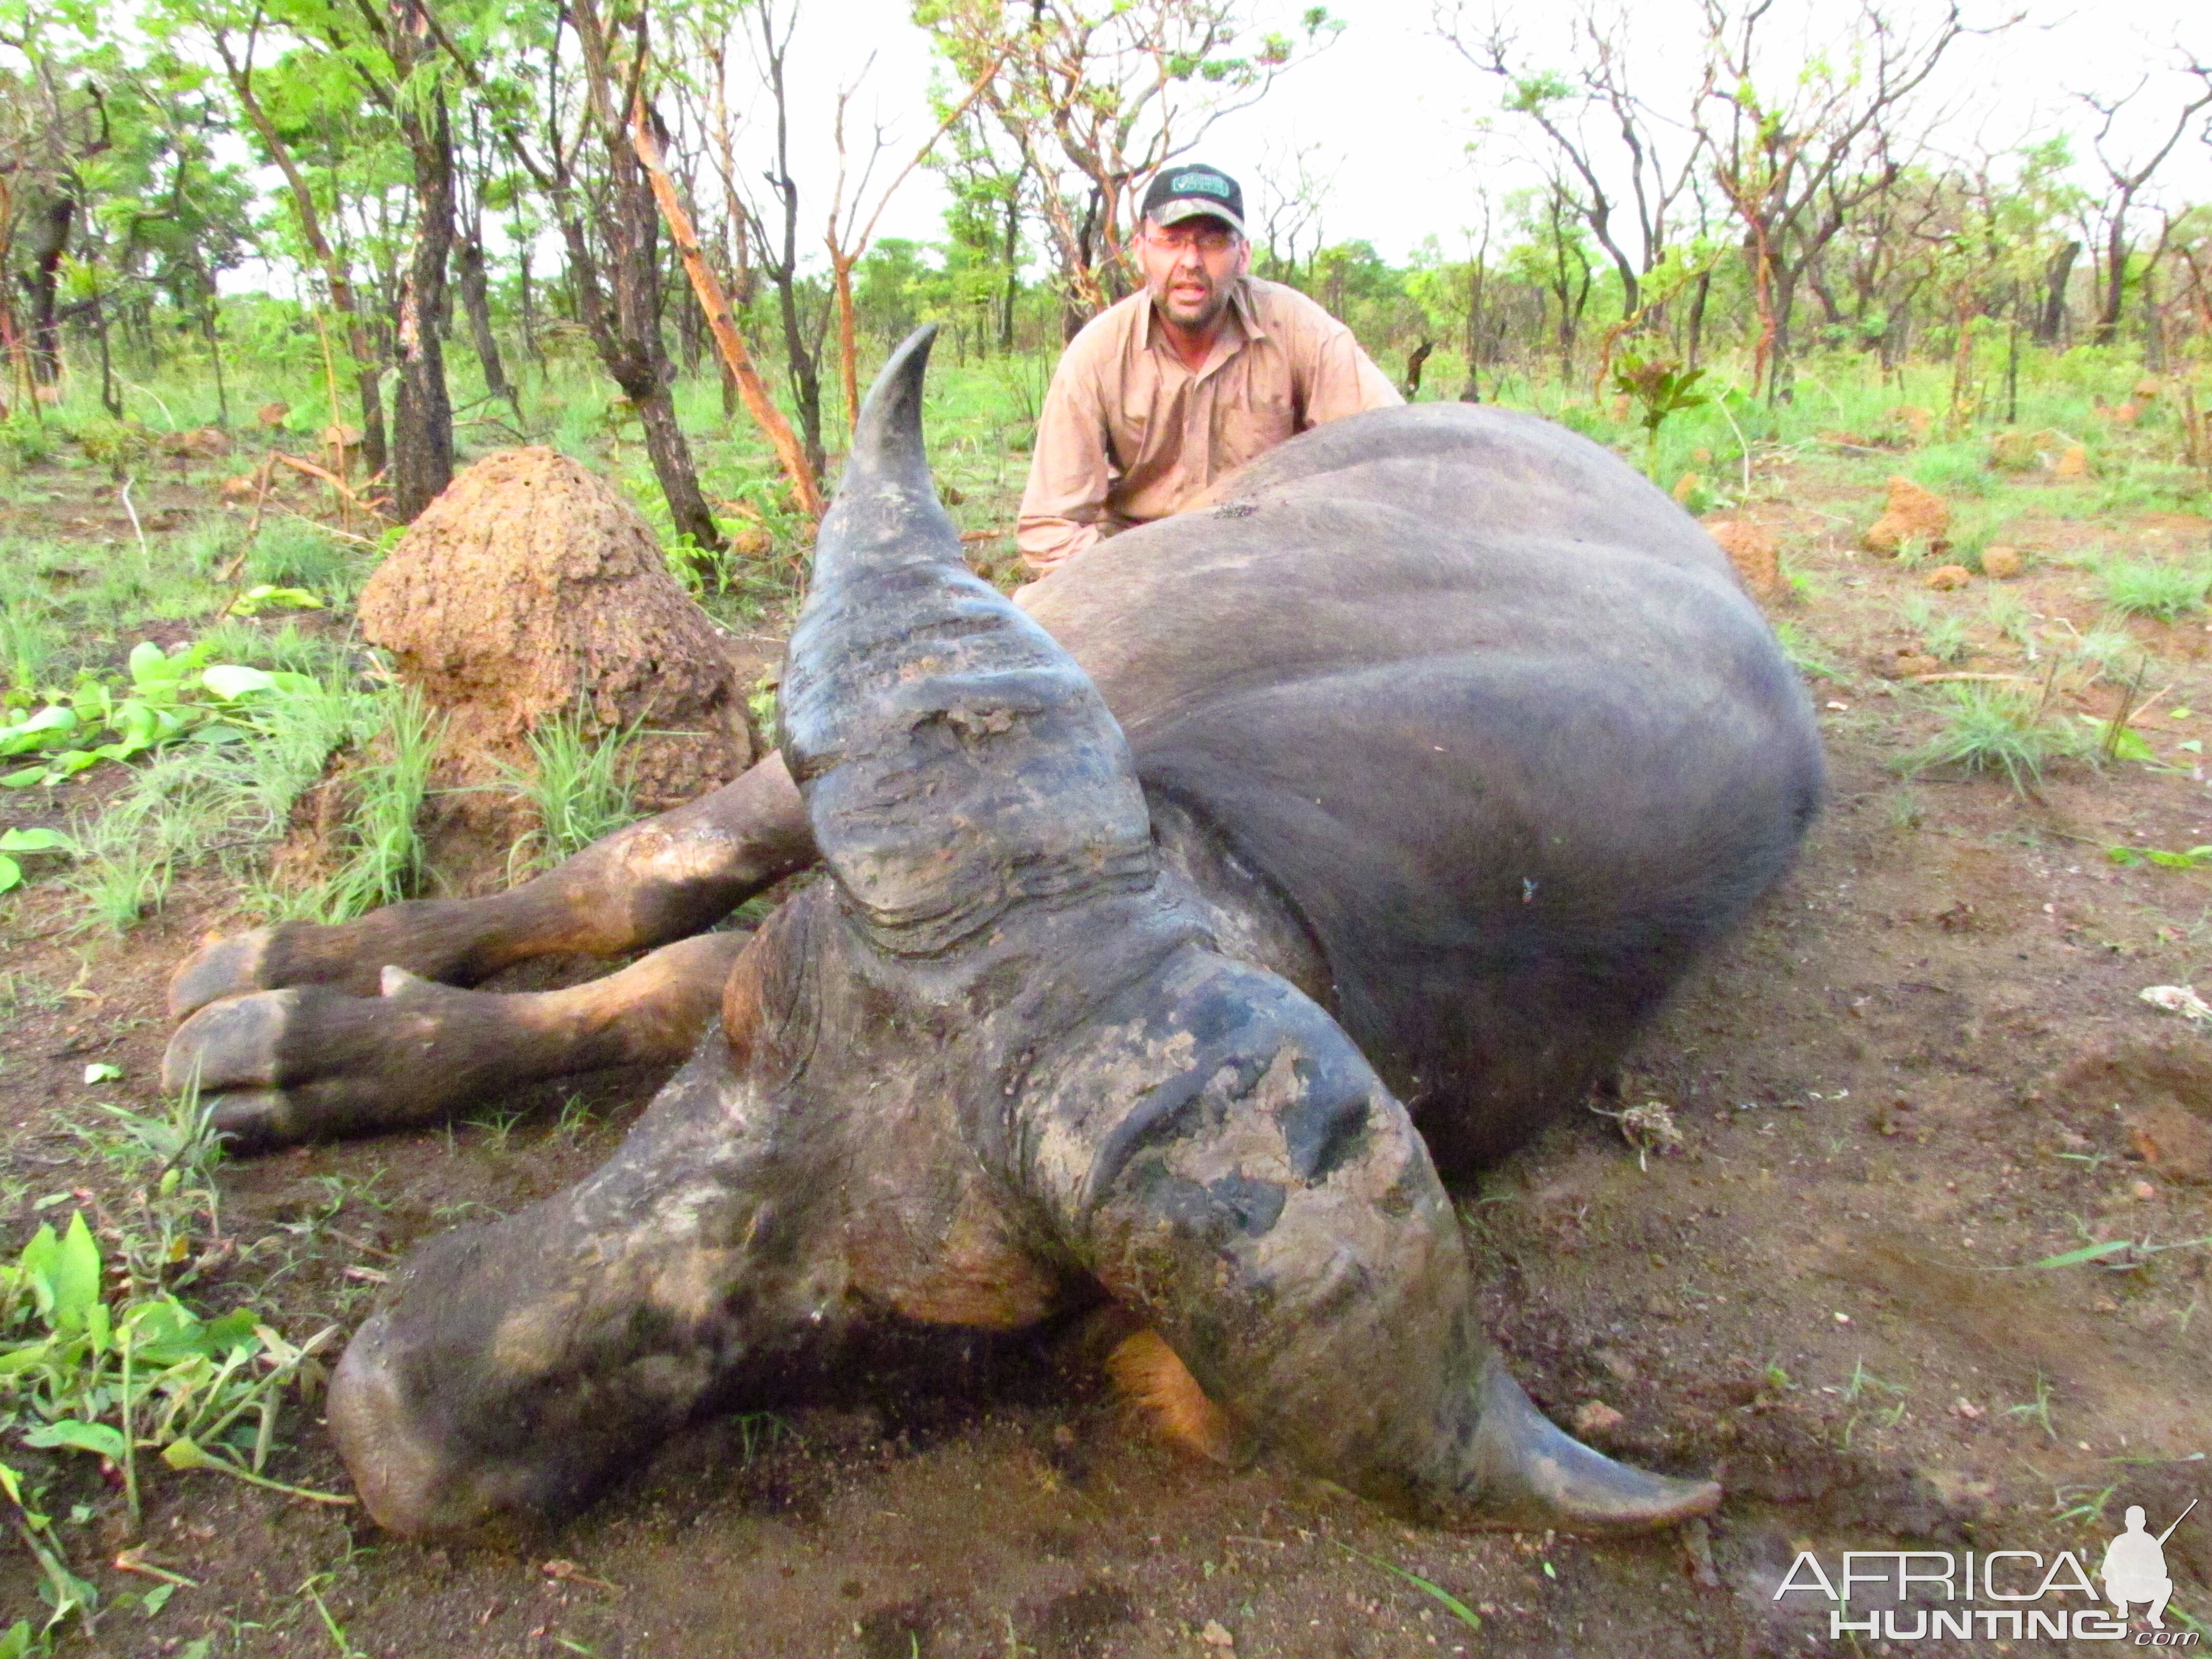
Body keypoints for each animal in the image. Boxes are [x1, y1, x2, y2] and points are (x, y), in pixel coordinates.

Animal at [168, 325, 1814, 1548]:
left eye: (906, 1316)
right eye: (754, 1029)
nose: (391, 1426)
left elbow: (656, 967)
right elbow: (653, 902)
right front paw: (293, 1032)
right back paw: (270, 974)